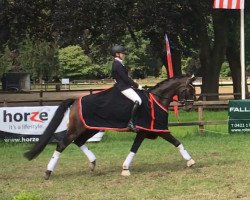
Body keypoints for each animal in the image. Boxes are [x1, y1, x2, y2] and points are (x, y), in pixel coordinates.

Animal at [24, 75, 197, 180]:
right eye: (190, 90)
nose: (190, 107)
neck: (157, 100)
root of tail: (76, 100)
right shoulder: (159, 130)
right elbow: (177, 142)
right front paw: (191, 161)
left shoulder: (143, 132)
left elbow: (134, 149)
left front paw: (125, 168)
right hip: (77, 129)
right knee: (62, 144)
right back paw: (48, 172)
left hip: (91, 128)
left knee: (79, 142)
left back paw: (92, 163)